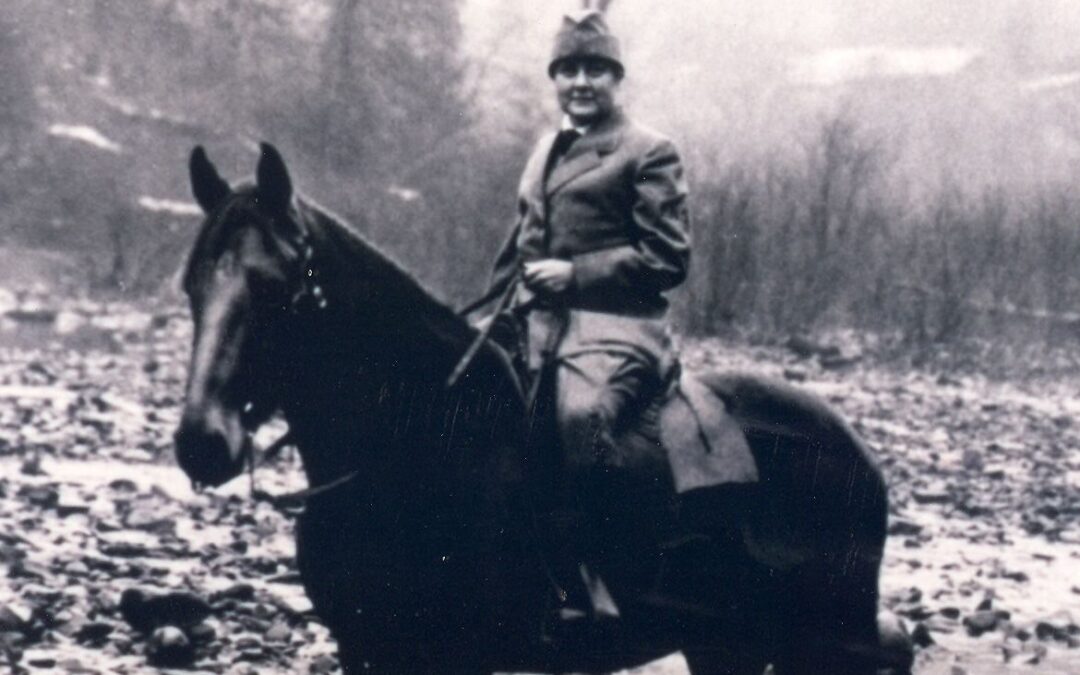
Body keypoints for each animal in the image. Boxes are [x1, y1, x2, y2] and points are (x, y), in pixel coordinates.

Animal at [174, 143, 911, 673]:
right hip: (725, 644)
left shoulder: (455, 656)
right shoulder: (367, 648)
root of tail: (856, 452)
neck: (414, 444)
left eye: (277, 286)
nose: (201, 442)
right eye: (191, 285)